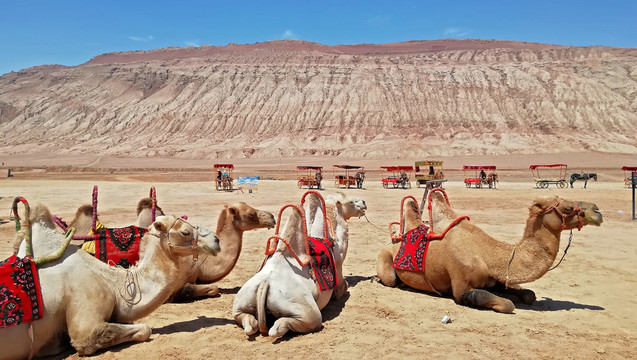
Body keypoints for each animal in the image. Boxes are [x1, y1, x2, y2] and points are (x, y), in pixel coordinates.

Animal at [231, 191, 366, 338]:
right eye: (351, 202)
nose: (364, 202)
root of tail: (264, 284)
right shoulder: (339, 266)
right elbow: (343, 288)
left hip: (240, 303)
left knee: (250, 324)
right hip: (306, 312)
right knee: (280, 329)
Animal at [376, 191, 604, 312]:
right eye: (567, 208)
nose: (597, 211)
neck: (487, 255)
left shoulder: (499, 280)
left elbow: (528, 294)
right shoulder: (461, 288)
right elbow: (505, 303)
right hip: (385, 262)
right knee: (390, 279)